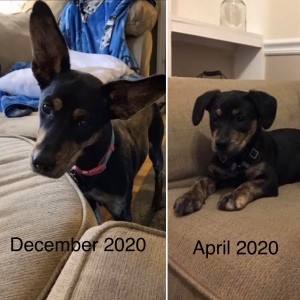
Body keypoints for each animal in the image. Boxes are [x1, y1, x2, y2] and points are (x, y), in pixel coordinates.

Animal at [29, 0, 165, 223]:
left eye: (85, 123)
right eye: (46, 107)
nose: (40, 162)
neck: (91, 163)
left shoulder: (122, 211)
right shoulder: (90, 201)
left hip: (155, 145)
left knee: (159, 173)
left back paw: (156, 202)